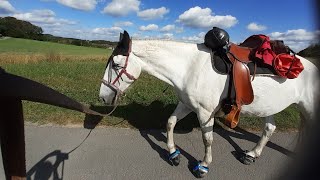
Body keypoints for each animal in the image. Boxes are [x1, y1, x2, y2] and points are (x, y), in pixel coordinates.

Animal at [99, 31, 318, 177]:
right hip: (269, 106)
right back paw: (252, 154)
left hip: (308, 108)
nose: (102, 98)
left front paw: (203, 165)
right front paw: (173, 153)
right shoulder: (186, 105)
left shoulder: (205, 113)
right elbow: (170, 123)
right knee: (269, 128)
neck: (189, 67)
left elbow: (208, 139)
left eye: (116, 64)